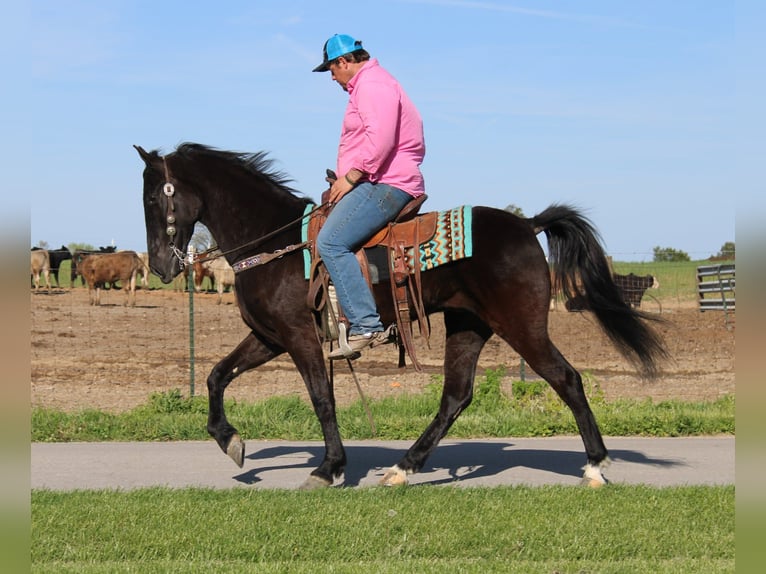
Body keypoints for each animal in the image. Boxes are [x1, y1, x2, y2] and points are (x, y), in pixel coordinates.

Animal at [135, 142, 667, 489]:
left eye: (153, 197)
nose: (160, 265)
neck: (276, 242)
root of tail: (526, 224)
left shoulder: (300, 337)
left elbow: (322, 399)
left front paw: (329, 468)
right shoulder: (270, 337)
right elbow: (216, 375)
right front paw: (229, 440)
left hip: (522, 326)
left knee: (567, 379)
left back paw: (595, 466)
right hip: (468, 326)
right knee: (456, 396)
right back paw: (404, 467)